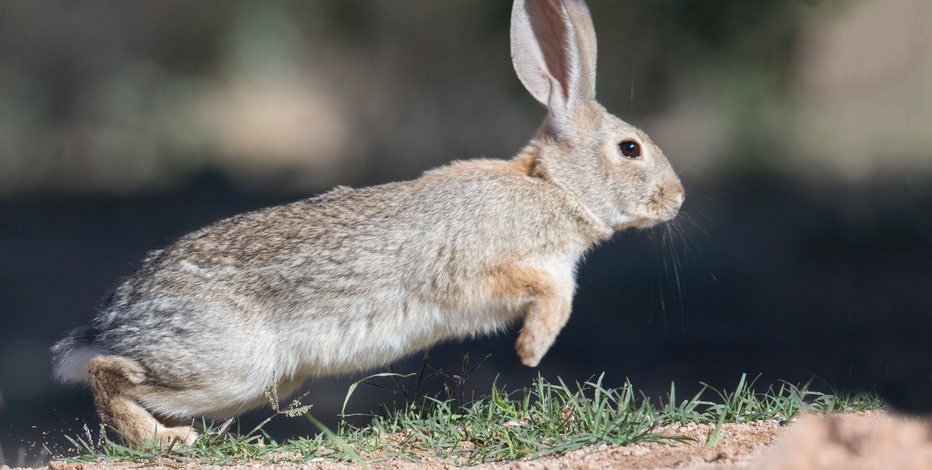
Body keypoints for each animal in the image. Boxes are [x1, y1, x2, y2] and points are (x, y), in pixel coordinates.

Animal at [51, 0, 684, 448]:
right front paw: (531, 351)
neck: (554, 187)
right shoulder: (479, 270)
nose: (677, 198)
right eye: (630, 149)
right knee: (107, 373)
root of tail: (115, 323)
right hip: (229, 367)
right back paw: (164, 439)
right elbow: (546, 293)